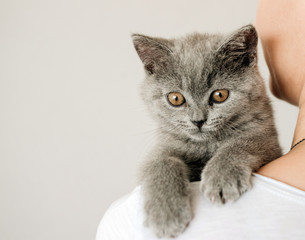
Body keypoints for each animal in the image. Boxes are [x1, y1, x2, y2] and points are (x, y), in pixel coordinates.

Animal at [131, 24, 280, 238]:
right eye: (175, 98)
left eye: (220, 95)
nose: (198, 120)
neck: (206, 145)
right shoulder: (162, 146)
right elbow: (160, 162)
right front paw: (166, 214)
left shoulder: (267, 138)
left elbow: (242, 143)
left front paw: (222, 177)